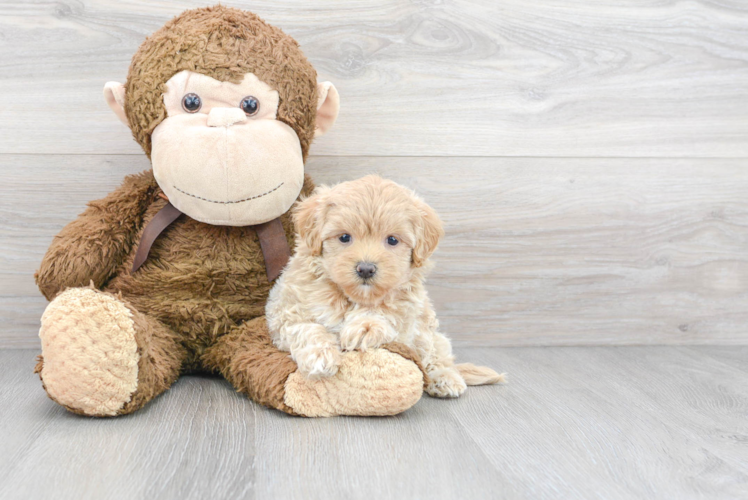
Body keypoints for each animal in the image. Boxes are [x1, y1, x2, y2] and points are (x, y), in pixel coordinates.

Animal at [266, 176, 506, 398]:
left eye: (392, 240)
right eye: (344, 237)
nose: (365, 269)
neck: (352, 297)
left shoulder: (407, 310)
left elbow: (387, 312)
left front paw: (366, 327)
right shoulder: (285, 311)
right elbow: (306, 328)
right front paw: (319, 356)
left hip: (428, 331)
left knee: (436, 354)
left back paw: (445, 378)